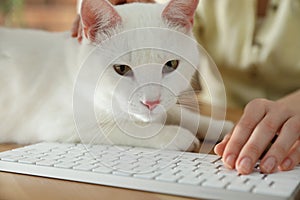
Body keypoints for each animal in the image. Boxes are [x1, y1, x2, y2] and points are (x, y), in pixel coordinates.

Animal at [0, 0, 233, 151]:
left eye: (171, 65)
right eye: (121, 69)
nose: (151, 102)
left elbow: (179, 113)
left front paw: (220, 127)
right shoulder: (63, 123)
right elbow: (130, 127)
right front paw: (176, 135)